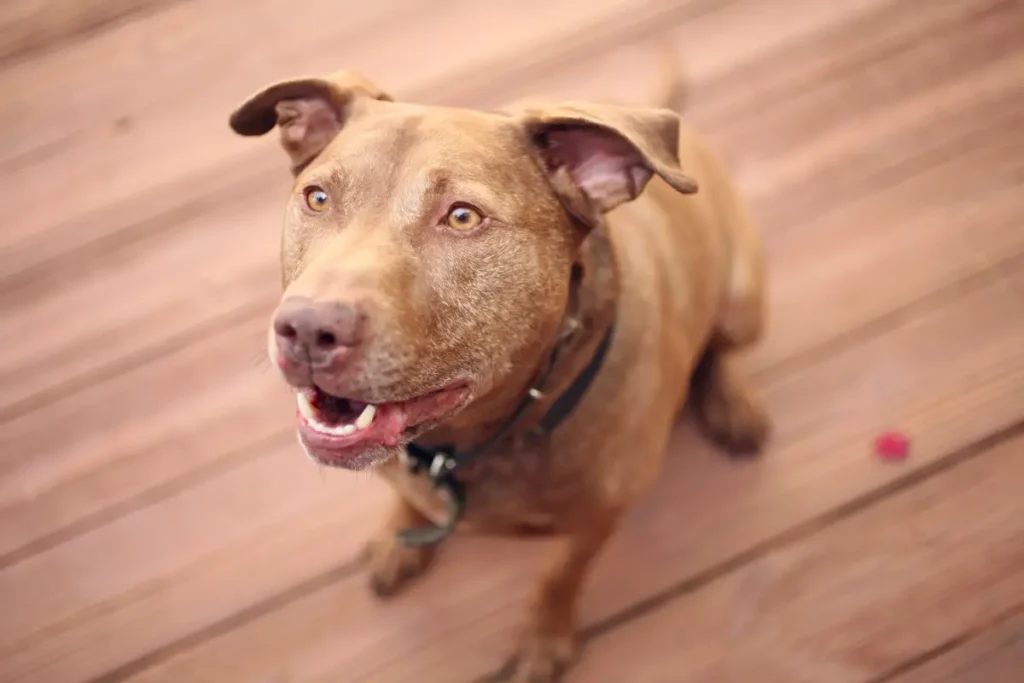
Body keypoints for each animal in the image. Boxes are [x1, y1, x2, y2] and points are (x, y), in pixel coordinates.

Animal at [226, 54, 770, 683]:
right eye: (316, 198)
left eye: (463, 217)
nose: (308, 329)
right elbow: (407, 498)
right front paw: (400, 539)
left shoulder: (600, 519)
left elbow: (560, 575)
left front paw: (543, 639)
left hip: (742, 300)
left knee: (723, 351)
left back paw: (733, 405)